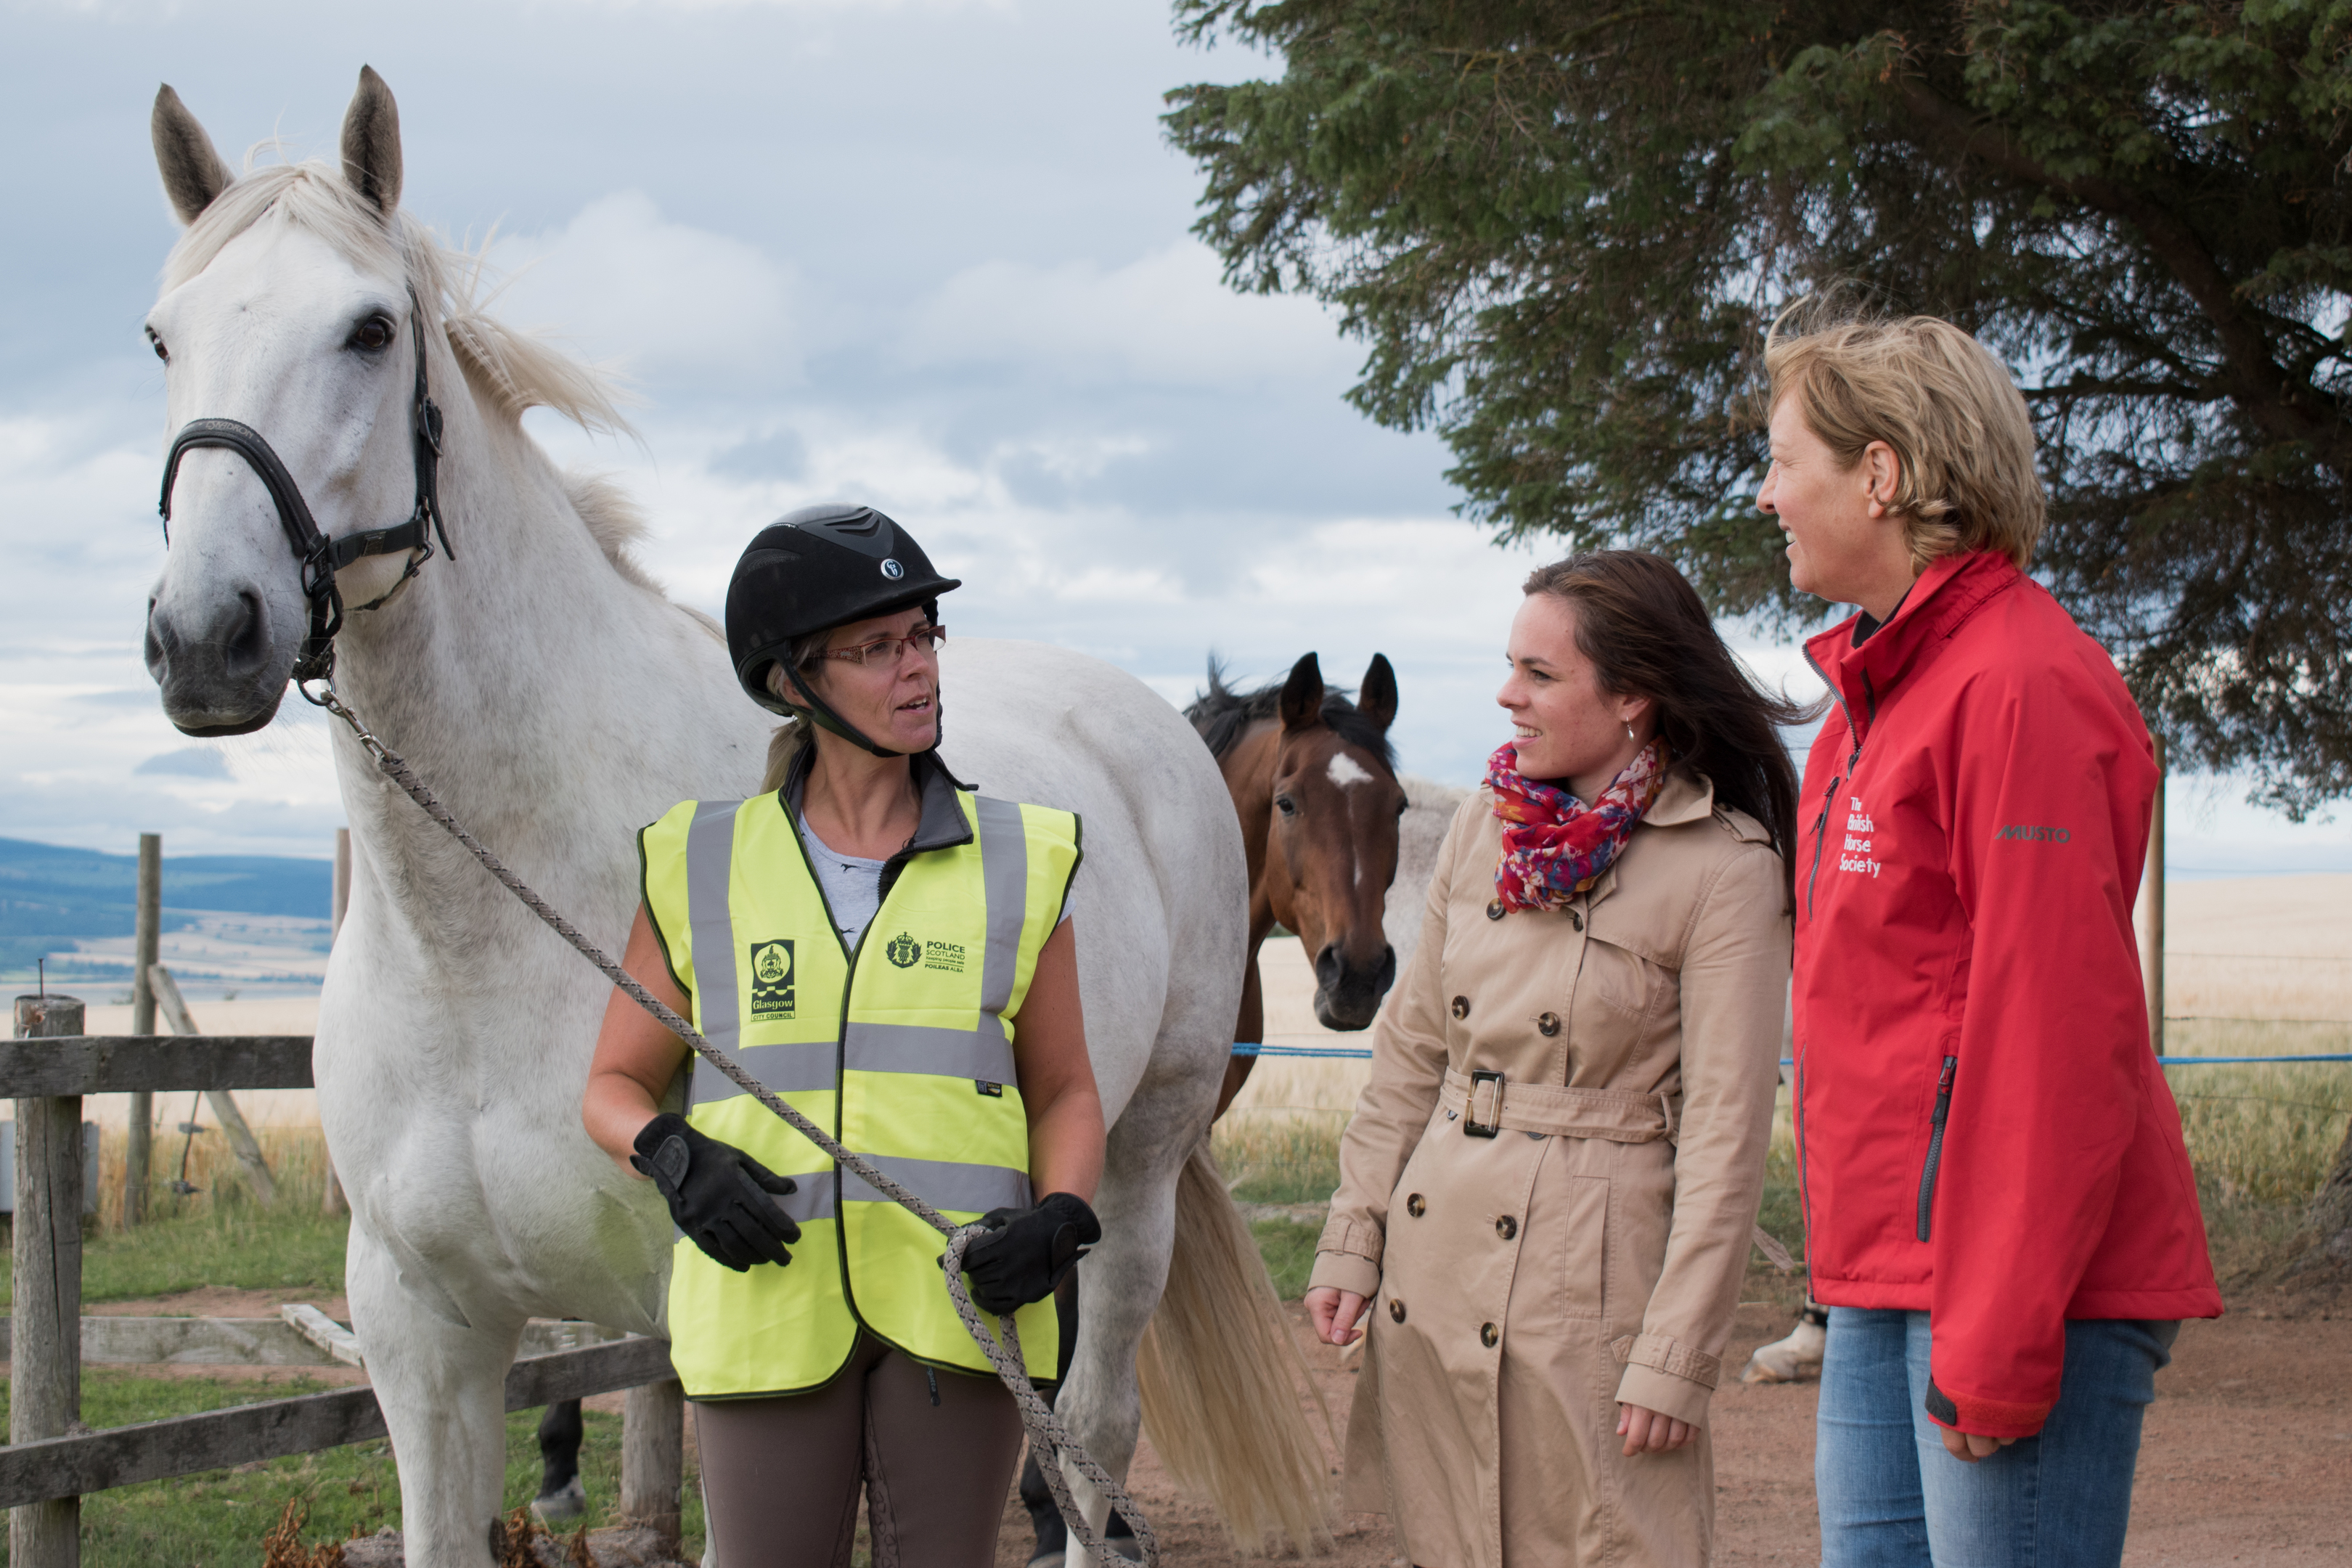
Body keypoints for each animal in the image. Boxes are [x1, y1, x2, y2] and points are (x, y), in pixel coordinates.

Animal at [142, 64, 1326, 1568]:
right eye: (161, 338)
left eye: (369, 329)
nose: (205, 636)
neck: (490, 933)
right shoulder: (423, 1334)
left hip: (1132, 1172)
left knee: (1090, 1438)